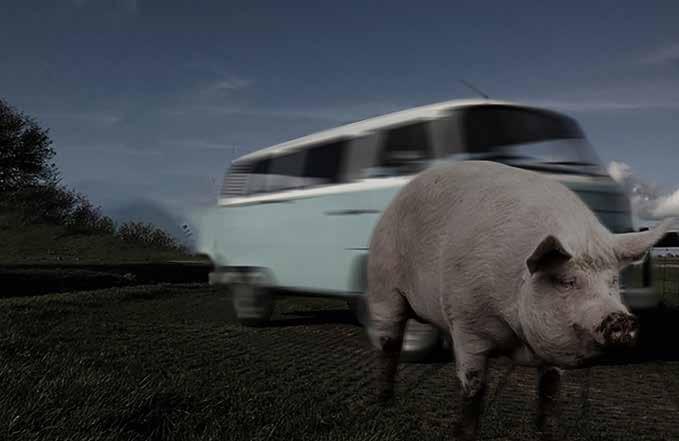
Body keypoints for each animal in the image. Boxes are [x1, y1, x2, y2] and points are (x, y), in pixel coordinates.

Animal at [366, 160, 676, 438]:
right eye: (567, 282)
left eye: (612, 281)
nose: (621, 318)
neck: (517, 337)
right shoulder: (468, 323)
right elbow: (474, 386)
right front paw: (463, 433)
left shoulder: (553, 348)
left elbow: (550, 390)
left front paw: (546, 431)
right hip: (384, 286)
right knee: (389, 342)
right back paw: (384, 401)